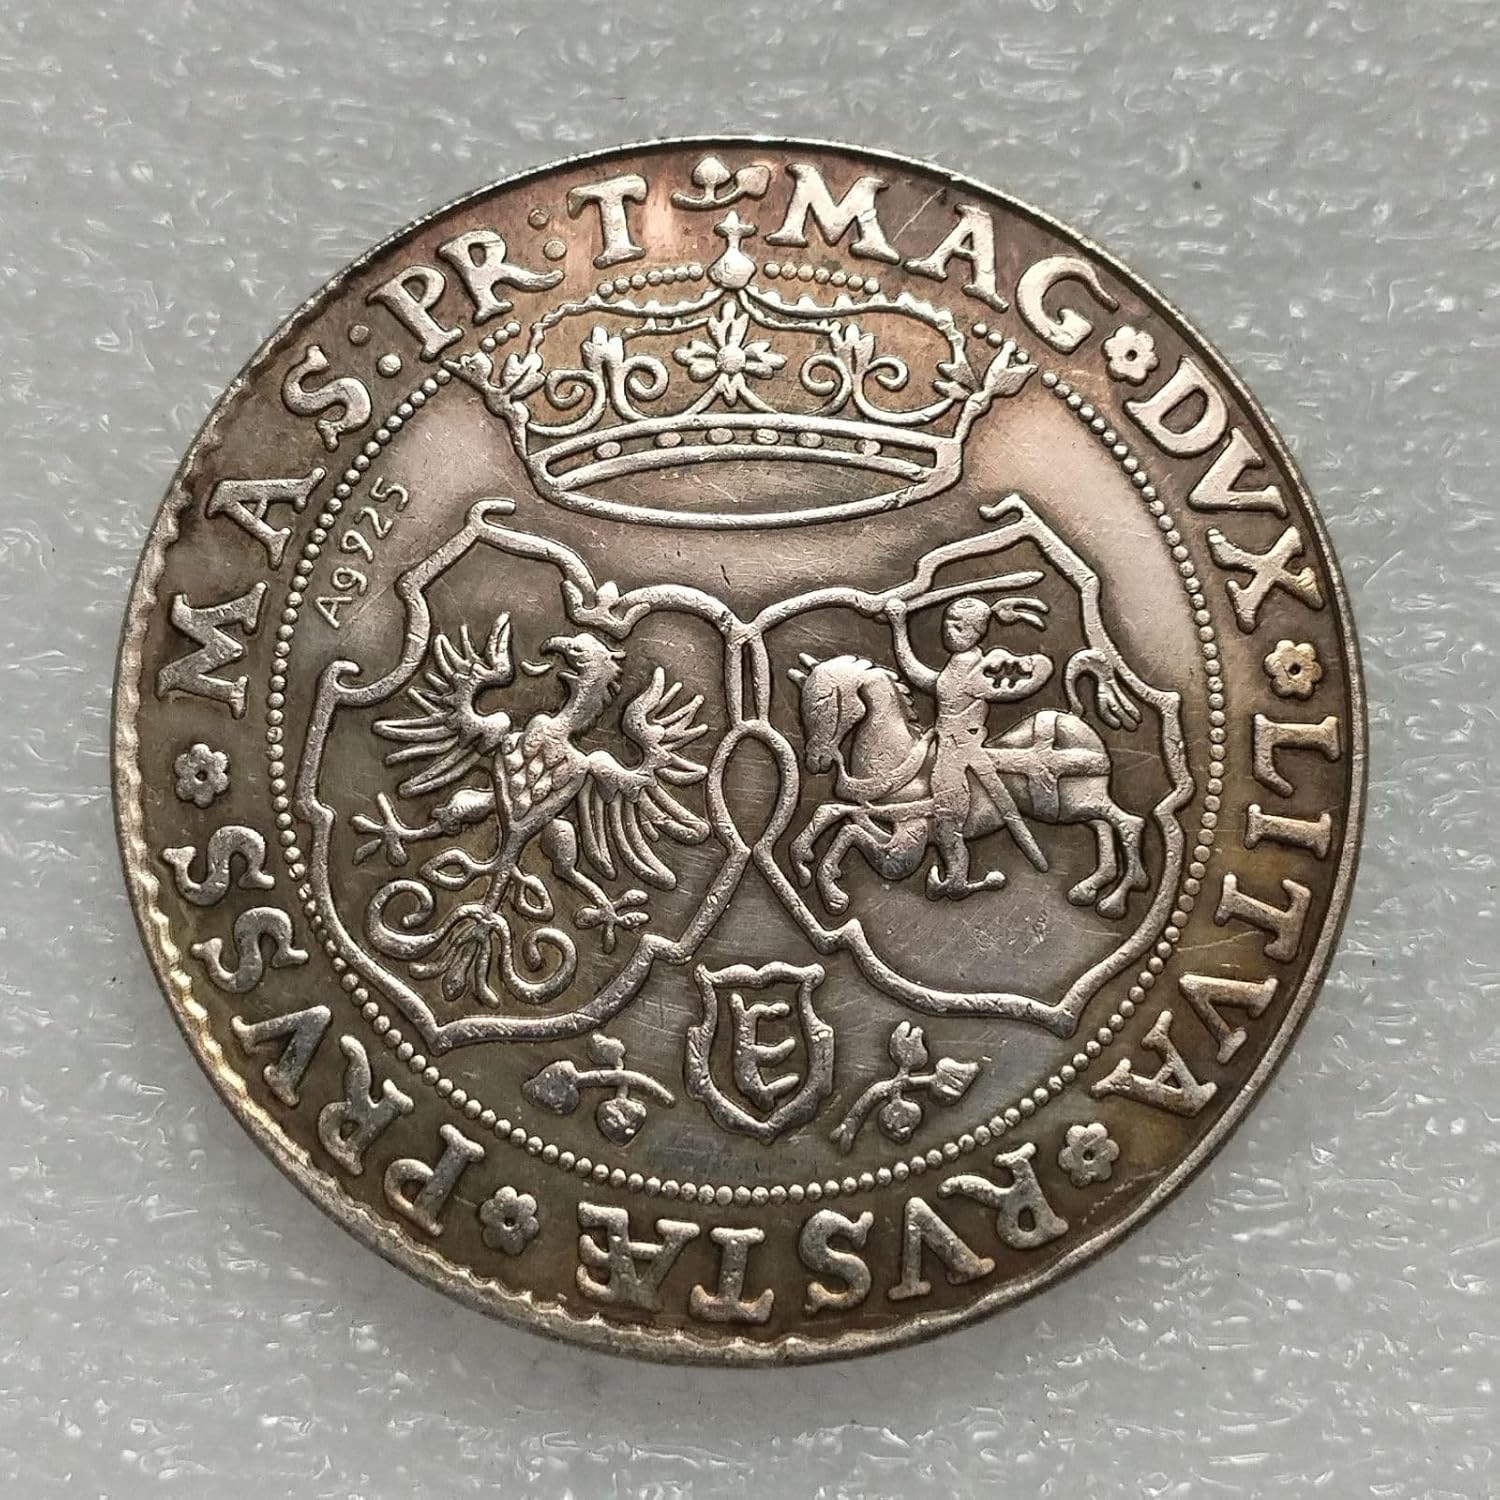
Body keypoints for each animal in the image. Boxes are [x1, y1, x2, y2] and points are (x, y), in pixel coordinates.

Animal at [786, 653, 1148, 919]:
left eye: (823, 705)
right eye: (802, 711)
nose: (815, 762)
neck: (899, 758)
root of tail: (1073, 716)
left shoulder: (907, 845)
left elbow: (852, 831)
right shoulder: (886, 816)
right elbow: (835, 812)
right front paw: (809, 864)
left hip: (1075, 802)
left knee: (1129, 823)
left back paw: (1116, 898)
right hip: (1073, 805)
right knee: (1103, 827)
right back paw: (1091, 886)